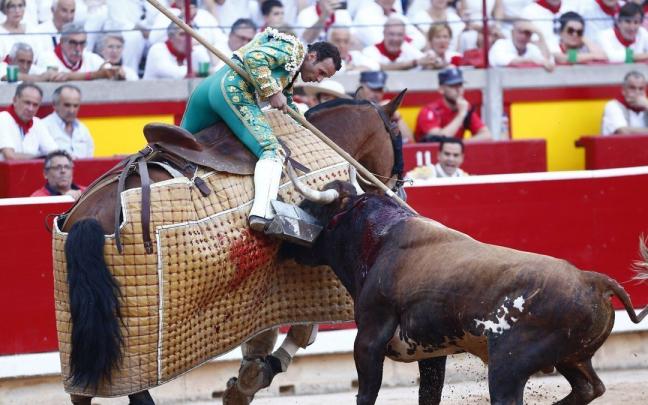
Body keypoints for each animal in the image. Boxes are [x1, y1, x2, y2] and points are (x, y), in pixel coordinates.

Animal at [59, 91, 407, 405]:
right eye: (398, 137)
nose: (399, 190)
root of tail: (87, 217)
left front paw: (245, 382)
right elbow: (301, 332)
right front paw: (248, 383)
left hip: (85, 323)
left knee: (83, 390)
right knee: (131, 386)